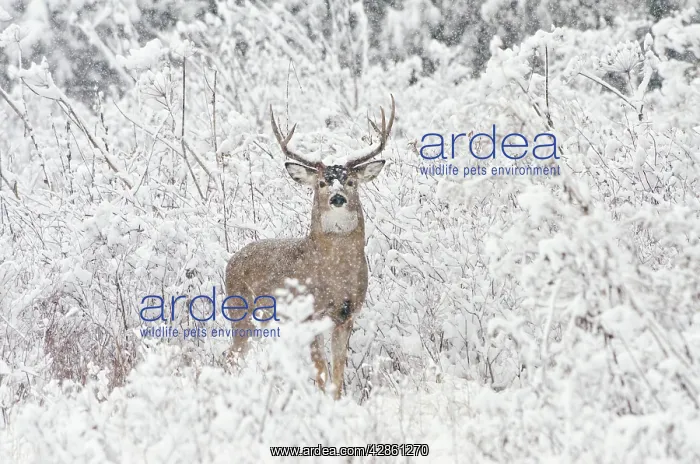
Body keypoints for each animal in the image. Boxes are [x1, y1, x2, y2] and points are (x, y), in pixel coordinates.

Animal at [224, 95, 395, 399]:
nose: (337, 198)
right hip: (240, 312)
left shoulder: (346, 315)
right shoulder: (308, 314)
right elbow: (321, 372)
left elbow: (337, 373)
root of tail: (230, 262)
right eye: (322, 182)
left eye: (351, 181)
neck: (334, 276)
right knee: (230, 357)